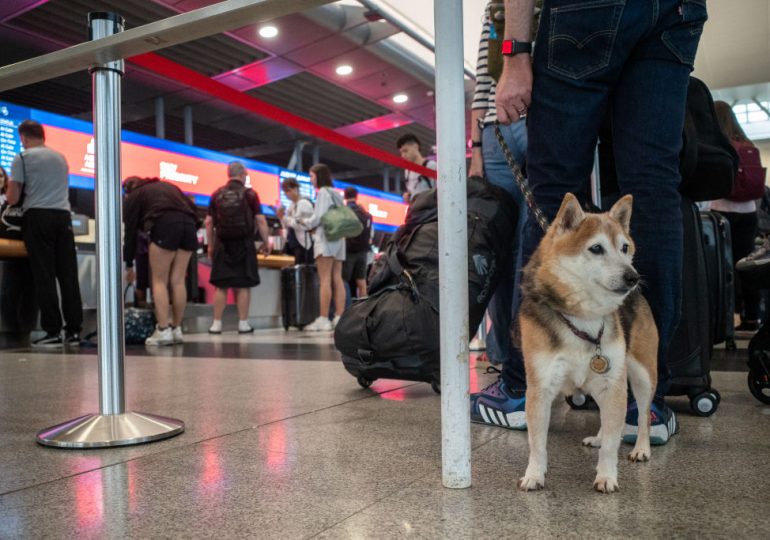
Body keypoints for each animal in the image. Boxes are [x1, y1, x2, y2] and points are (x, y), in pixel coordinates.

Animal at [516, 193, 656, 494]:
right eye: (596, 248)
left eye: (625, 247)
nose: (633, 277)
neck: (584, 317)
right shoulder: (541, 388)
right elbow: (537, 442)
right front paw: (534, 474)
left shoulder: (612, 382)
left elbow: (613, 445)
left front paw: (606, 476)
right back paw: (600, 437)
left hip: (642, 374)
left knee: (642, 415)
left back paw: (641, 448)